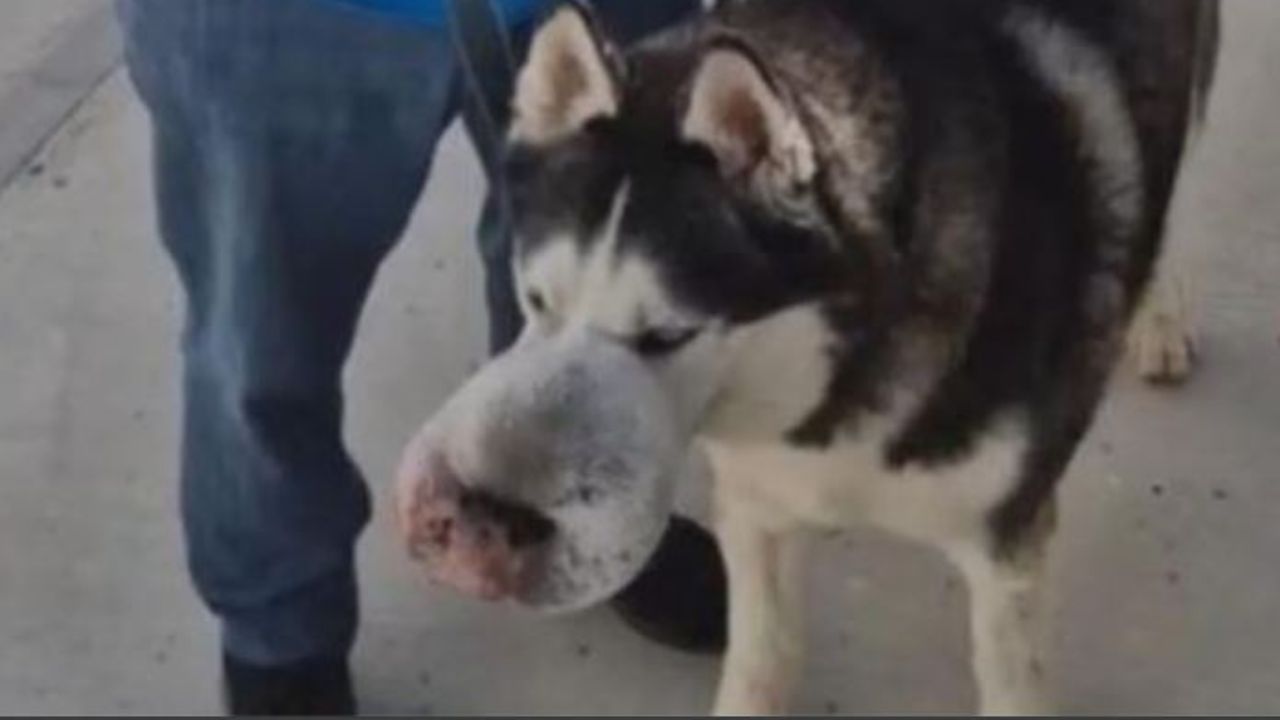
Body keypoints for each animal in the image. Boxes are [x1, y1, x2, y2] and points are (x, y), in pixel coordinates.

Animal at [396, 1, 1218, 712]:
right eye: (536, 301)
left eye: (667, 336)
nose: (481, 528)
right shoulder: (757, 508)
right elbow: (764, 660)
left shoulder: (1006, 549)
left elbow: (1012, 684)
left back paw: (1157, 315)